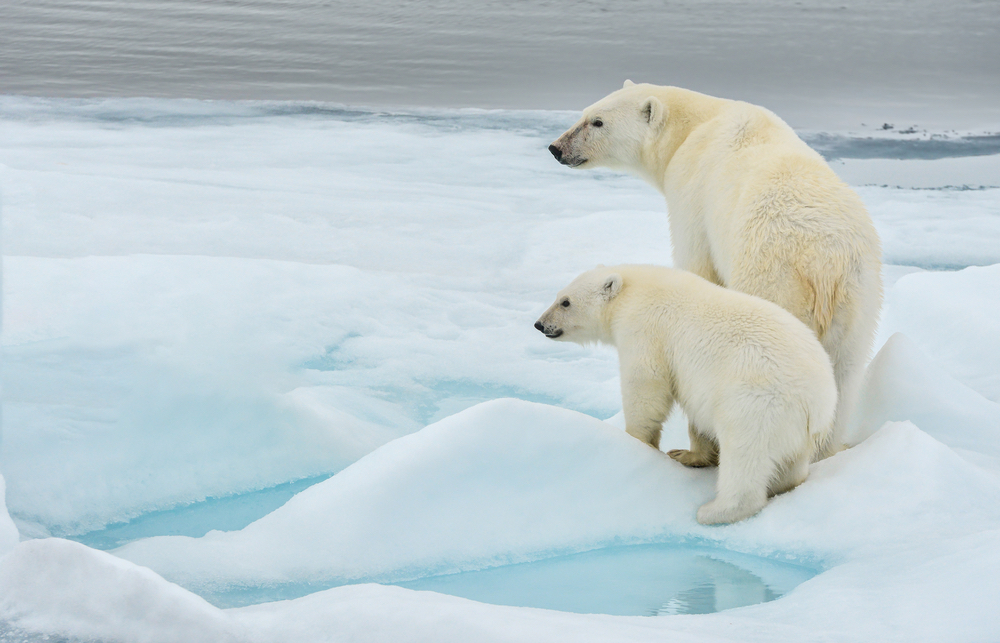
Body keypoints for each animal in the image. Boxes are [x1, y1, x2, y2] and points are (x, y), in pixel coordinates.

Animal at [548, 82, 884, 462]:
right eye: (584, 113)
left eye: (598, 122)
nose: (556, 148)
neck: (698, 123)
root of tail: (824, 264)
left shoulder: (691, 191)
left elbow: (696, 265)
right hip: (859, 300)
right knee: (844, 375)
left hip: (773, 278)